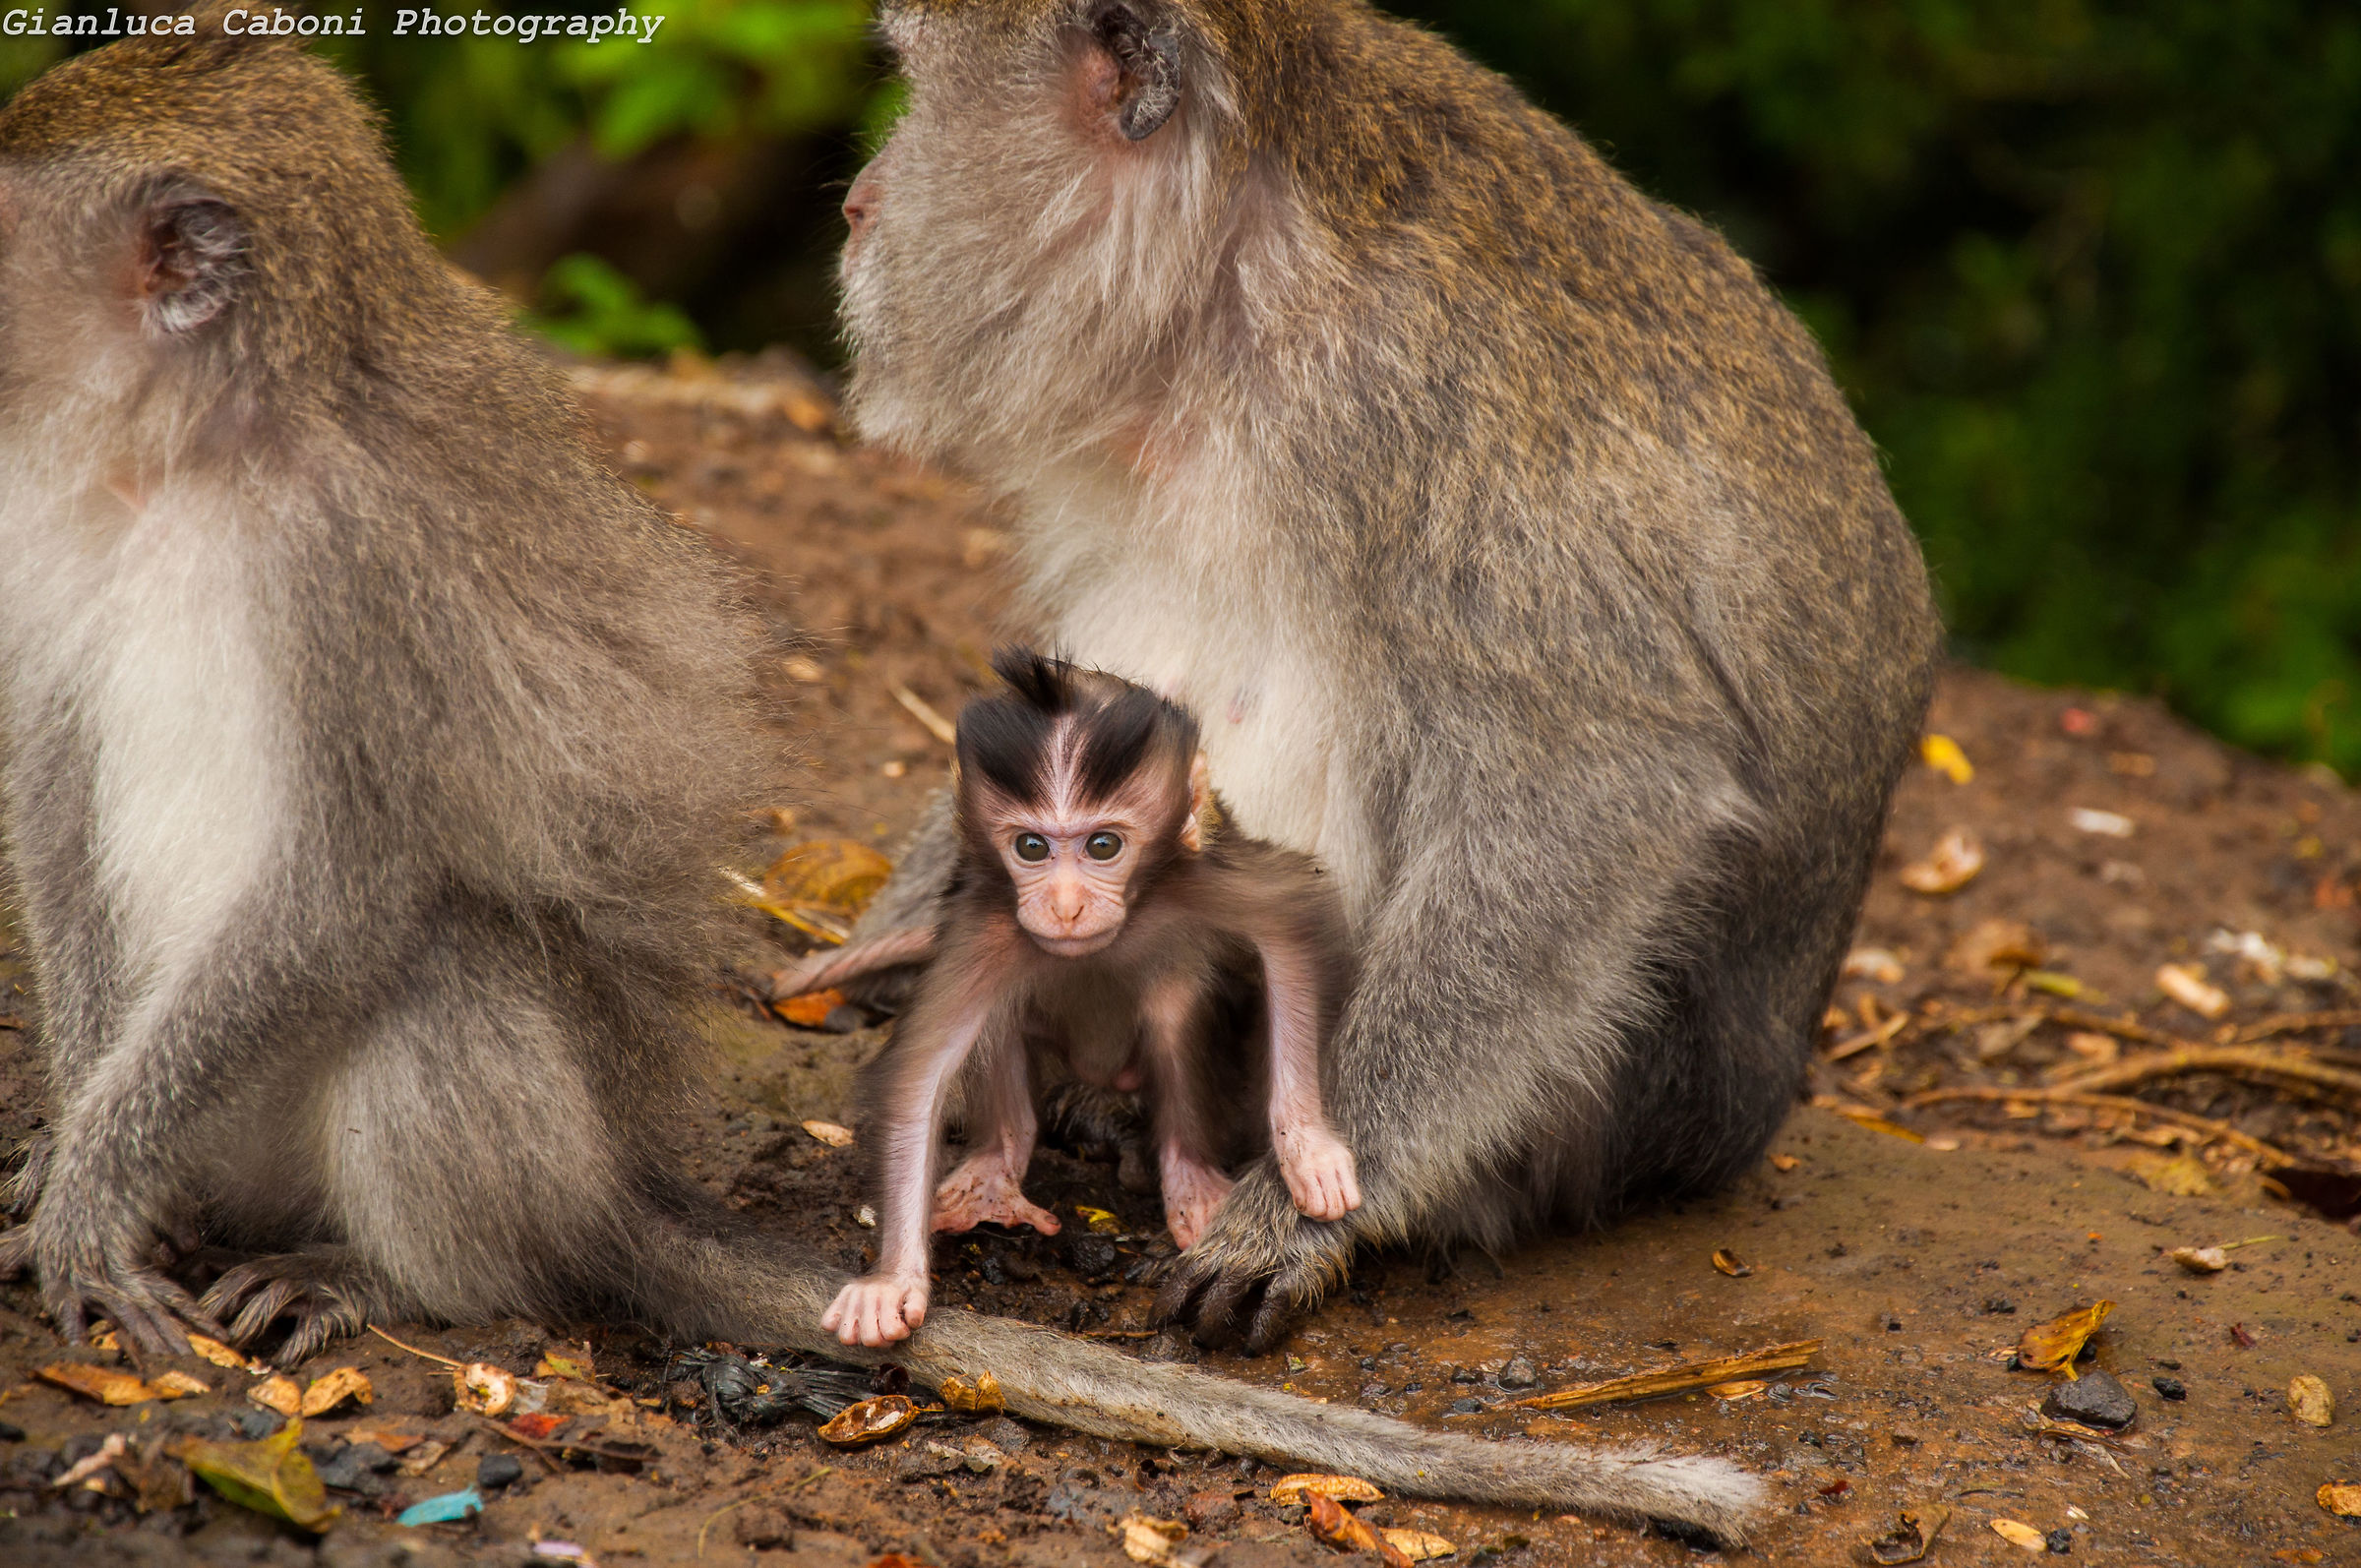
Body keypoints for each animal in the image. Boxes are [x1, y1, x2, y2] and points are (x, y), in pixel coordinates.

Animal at [825, 649, 1358, 1347]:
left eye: (1103, 845)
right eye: (1031, 847)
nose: (1065, 905)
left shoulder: (1205, 879)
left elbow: (1292, 934)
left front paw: (1308, 1150)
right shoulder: (986, 927)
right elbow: (920, 1071)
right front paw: (891, 1281)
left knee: (1173, 1006)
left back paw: (1189, 1179)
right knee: (1003, 1024)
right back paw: (995, 1168)